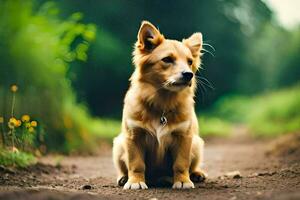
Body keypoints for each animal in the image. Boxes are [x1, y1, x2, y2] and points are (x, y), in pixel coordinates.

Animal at [112, 21, 206, 190]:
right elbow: (136, 164)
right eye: (167, 59)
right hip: (119, 144)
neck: (162, 102)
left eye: (189, 62)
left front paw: (183, 181)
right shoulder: (133, 136)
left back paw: (196, 174)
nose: (189, 74)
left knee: (192, 166)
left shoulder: (184, 136)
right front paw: (135, 182)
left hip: (196, 143)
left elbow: (181, 164)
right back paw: (123, 178)